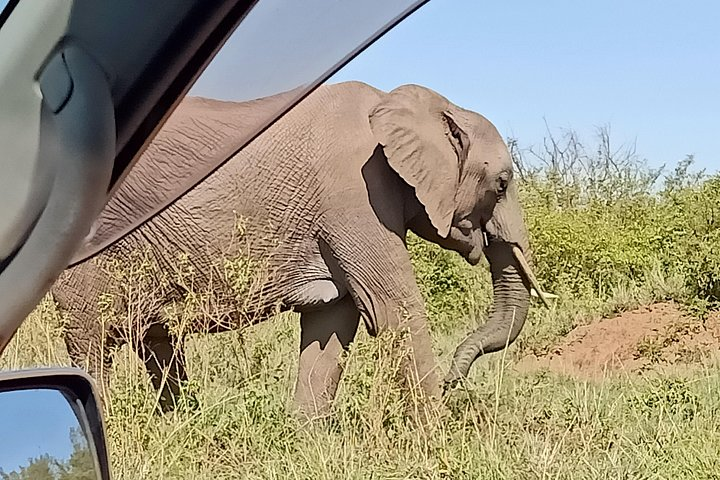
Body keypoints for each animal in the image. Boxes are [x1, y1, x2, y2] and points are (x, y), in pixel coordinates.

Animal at [51, 80, 547, 417]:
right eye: (502, 184)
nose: (453, 382)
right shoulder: (356, 194)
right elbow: (391, 310)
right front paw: (437, 434)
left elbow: (334, 320)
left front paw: (305, 436)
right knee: (92, 346)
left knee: (155, 340)